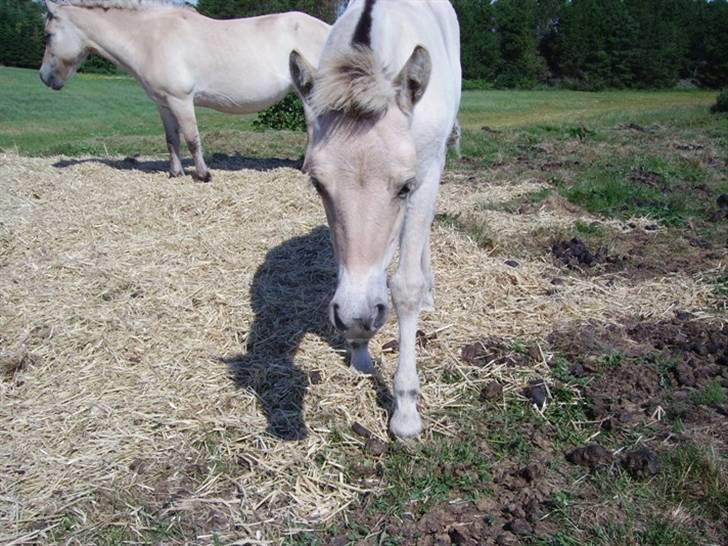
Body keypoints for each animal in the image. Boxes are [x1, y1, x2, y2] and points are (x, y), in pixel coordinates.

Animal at [41, 0, 332, 181]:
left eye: (47, 34)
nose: (44, 77)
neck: (150, 38)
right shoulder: (163, 103)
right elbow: (172, 139)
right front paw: (175, 173)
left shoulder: (180, 100)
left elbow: (192, 138)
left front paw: (203, 175)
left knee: (312, 127)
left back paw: (307, 168)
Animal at [290, 0, 460, 436]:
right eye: (318, 185)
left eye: (404, 186)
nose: (356, 318)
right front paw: (359, 353)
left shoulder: (424, 176)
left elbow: (405, 287)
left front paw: (406, 411)